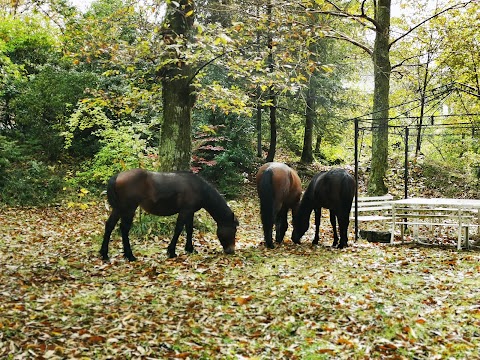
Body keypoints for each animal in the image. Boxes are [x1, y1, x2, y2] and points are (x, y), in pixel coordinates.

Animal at [100, 169, 238, 262]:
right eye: (234, 230)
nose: (231, 250)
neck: (199, 188)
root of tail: (117, 176)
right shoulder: (185, 211)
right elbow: (179, 229)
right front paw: (171, 252)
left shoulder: (190, 212)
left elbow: (189, 229)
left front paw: (190, 249)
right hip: (129, 209)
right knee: (124, 229)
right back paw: (130, 255)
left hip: (118, 209)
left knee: (109, 226)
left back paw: (104, 254)